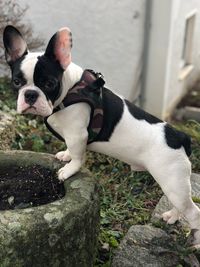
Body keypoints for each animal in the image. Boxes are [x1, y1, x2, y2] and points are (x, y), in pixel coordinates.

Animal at [3, 25, 200, 247]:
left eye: (49, 83)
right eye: (17, 82)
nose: (30, 95)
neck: (69, 90)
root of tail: (181, 137)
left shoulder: (77, 134)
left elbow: (78, 156)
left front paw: (69, 170)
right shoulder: (72, 136)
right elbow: (71, 150)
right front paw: (65, 155)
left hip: (172, 179)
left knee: (193, 212)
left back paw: (195, 243)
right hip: (171, 182)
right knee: (181, 204)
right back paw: (173, 216)